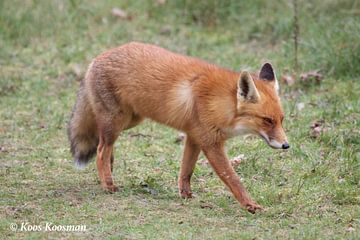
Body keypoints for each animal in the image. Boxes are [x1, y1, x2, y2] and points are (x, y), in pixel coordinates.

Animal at [67, 41, 290, 214]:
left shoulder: (194, 137)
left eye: (281, 120)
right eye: (267, 120)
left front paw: (186, 194)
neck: (221, 104)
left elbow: (186, 171)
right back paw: (107, 183)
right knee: (101, 149)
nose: (286, 145)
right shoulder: (211, 143)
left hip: (130, 121)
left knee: (102, 143)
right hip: (116, 121)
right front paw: (250, 205)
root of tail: (96, 58)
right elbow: (233, 178)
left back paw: (107, 172)